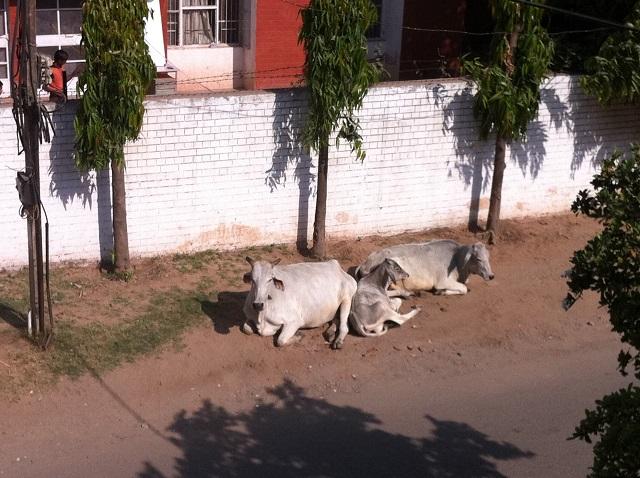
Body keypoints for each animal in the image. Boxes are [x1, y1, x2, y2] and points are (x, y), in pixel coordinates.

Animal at [356, 241, 496, 296]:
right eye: (478, 259)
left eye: (488, 257)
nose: (491, 276)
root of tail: (365, 263)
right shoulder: (442, 281)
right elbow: (464, 289)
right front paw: (442, 292)